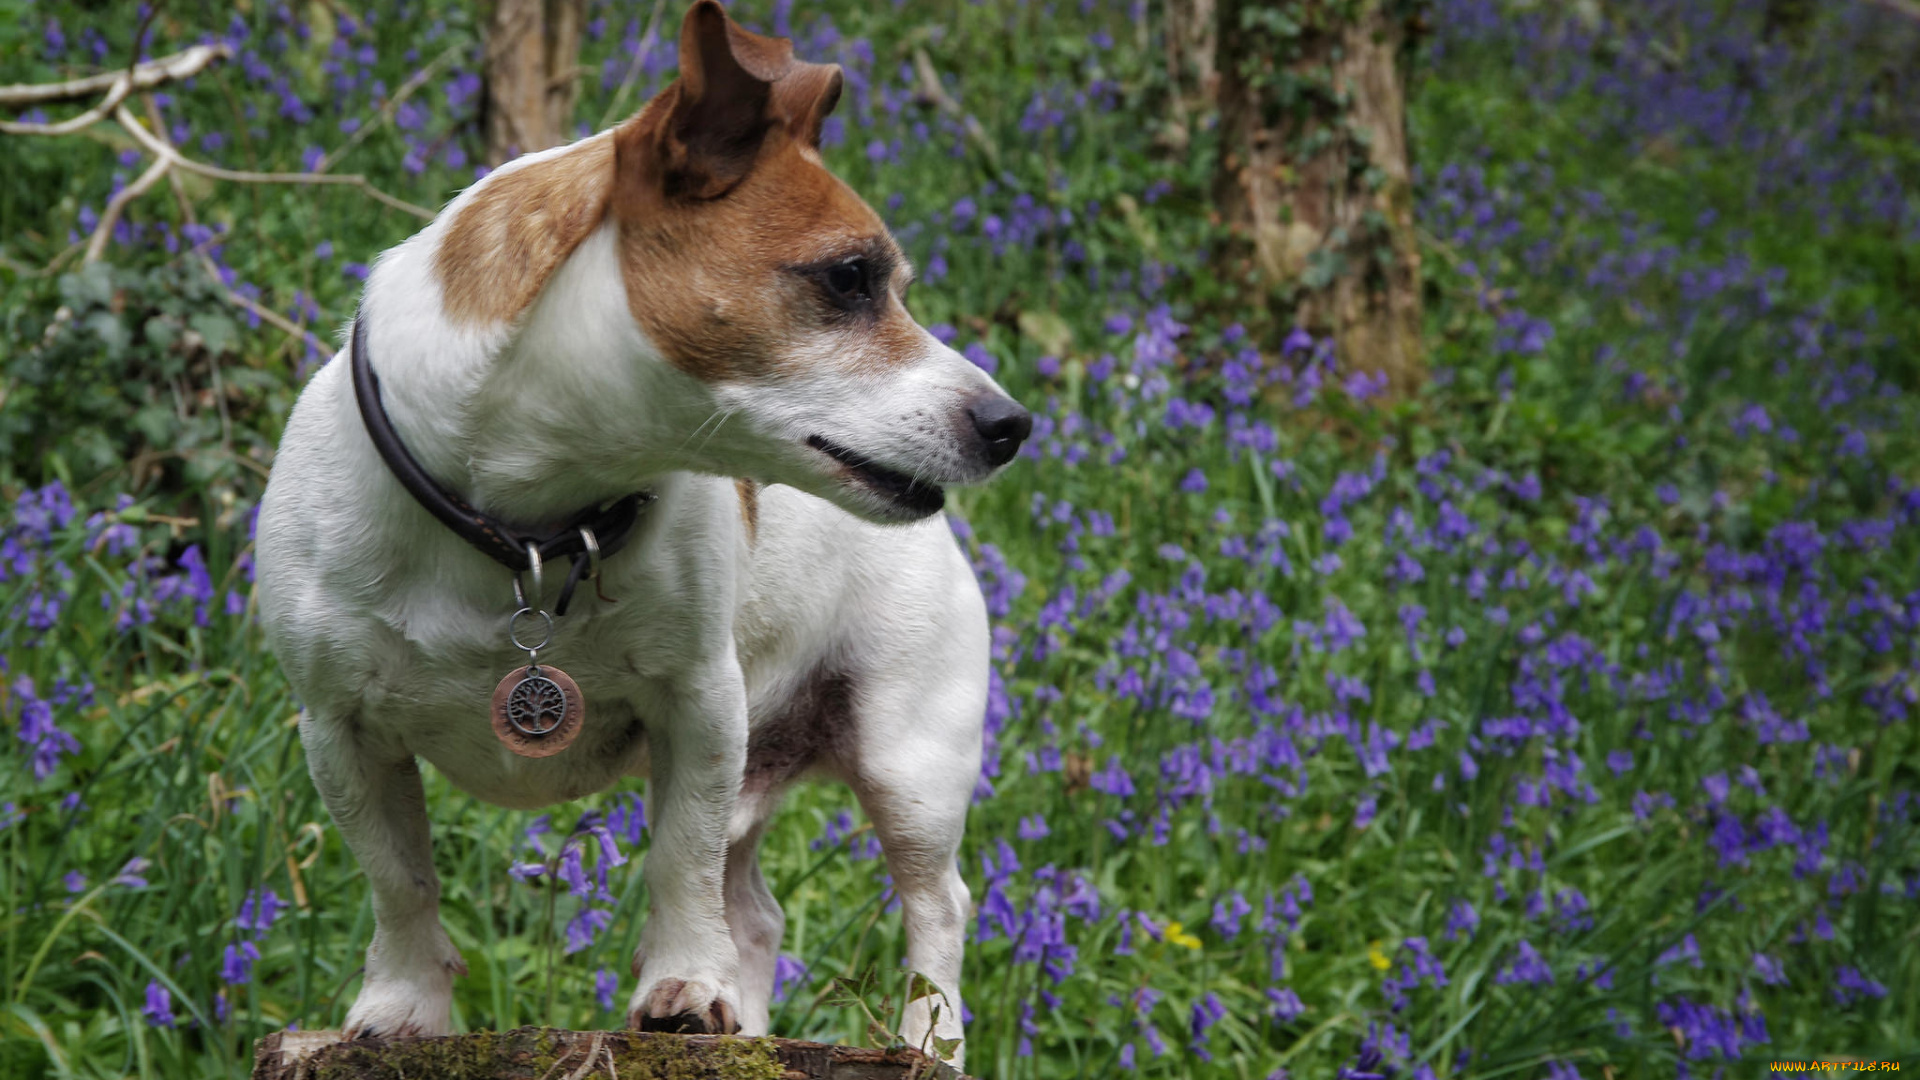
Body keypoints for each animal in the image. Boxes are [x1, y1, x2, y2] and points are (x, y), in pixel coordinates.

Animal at [263, 2, 1029, 1060]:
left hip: (906, 758)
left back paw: (925, 1043)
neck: (530, 523)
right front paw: (403, 1007)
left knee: (933, 905)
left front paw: (683, 987)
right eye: (849, 278)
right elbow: (400, 880)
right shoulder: (341, 732)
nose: (1011, 424)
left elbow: (677, 862)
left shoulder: (699, 707)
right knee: (754, 914)